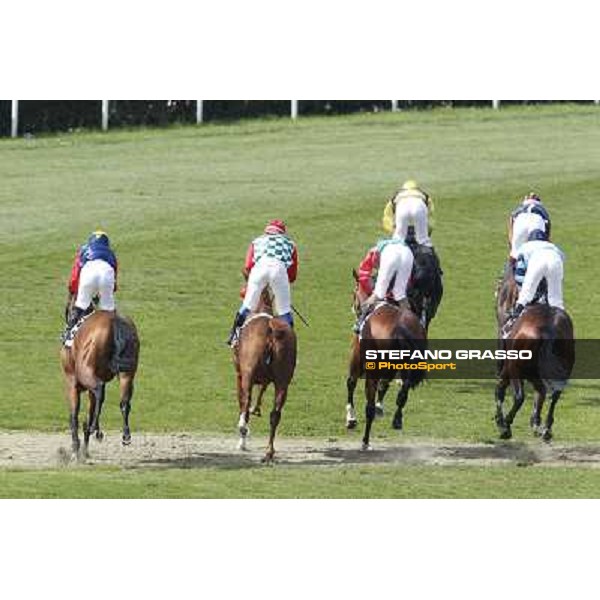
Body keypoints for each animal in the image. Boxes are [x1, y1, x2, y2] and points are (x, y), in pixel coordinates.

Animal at [61, 296, 140, 460]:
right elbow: (90, 410)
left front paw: (75, 449)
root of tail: (114, 321)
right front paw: (85, 449)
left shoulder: (72, 382)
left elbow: (74, 416)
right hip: (127, 373)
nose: (69, 322)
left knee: (99, 389)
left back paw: (94, 430)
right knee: (124, 402)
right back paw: (125, 434)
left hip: (86, 372)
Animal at [231, 288, 296, 462]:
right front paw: (257, 409)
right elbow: (262, 390)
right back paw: (269, 451)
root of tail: (270, 330)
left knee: (246, 403)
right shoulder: (267, 379)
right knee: (275, 414)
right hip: (283, 382)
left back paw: (243, 432)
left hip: (247, 376)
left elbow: (242, 402)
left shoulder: (240, 375)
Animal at [346, 270, 426, 448]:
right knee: (402, 394)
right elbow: (386, 387)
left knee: (368, 407)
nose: (354, 308)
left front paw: (351, 419)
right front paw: (381, 409)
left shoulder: (356, 362)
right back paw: (397, 420)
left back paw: (365, 441)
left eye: (354, 292)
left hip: (372, 373)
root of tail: (400, 328)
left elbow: (351, 383)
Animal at [494, 268, 576, 440]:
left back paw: (506, 425)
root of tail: (548, 329)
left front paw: (501, 423)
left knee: (519, 396)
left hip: (515, 368)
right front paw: (536, 423)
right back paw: (546, 429)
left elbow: (500, 391)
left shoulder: (507, 368)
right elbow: (541, 394)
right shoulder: (533, 374)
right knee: (554, 394)